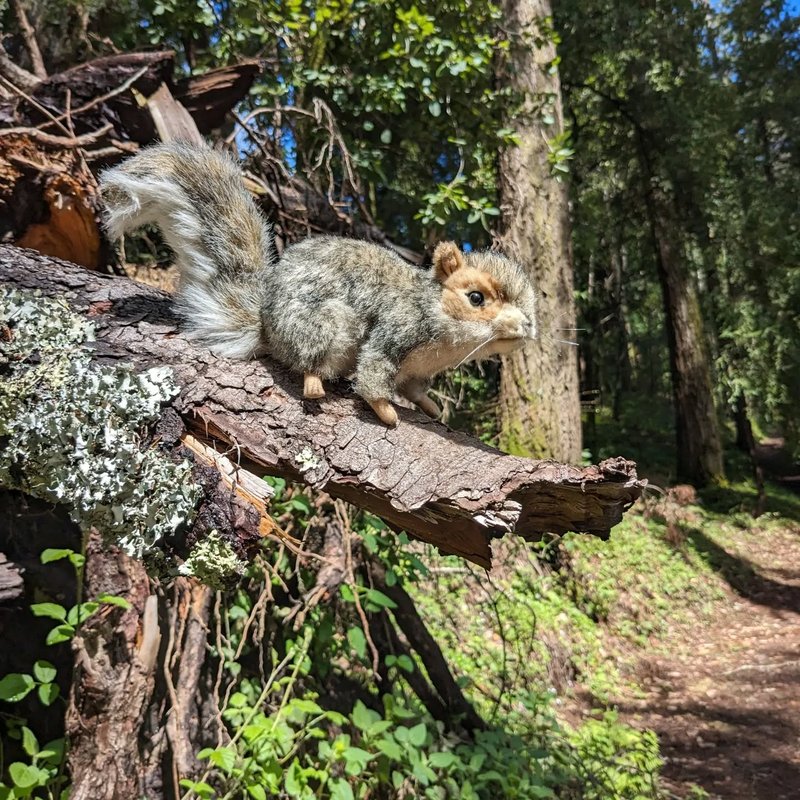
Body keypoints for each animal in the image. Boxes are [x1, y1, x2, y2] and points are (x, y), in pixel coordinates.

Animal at [99, 142, 537, 426]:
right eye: (475, 297)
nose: (526, 326)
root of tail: (266, 325)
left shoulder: (419, 371)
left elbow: (414, 389)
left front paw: (430, 407)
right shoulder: (395, 331)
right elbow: (374, 376)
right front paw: (387, 412)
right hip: (322, 324)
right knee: (309, 358)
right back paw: (313, 382)